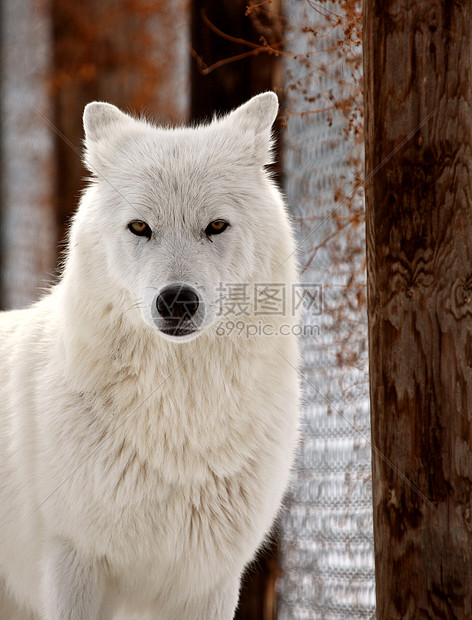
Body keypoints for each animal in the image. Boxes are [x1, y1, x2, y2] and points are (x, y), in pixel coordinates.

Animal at [0, 93, 300, 620]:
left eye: (216, 226)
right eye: (140, 227)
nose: (177, 300)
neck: (179, 426)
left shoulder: (209, 583)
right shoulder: (74, 563)